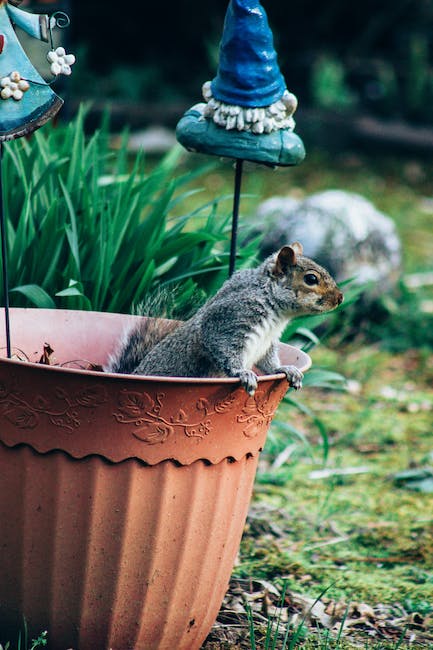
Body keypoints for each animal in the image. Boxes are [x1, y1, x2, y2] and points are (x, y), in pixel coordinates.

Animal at [104, 242, 340, 394]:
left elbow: (269, 361)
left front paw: (284, 369)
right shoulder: (229, 319)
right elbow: (222, 348)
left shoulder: (267, 343)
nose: (340, 298)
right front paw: (243, 373)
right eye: (311, 279)